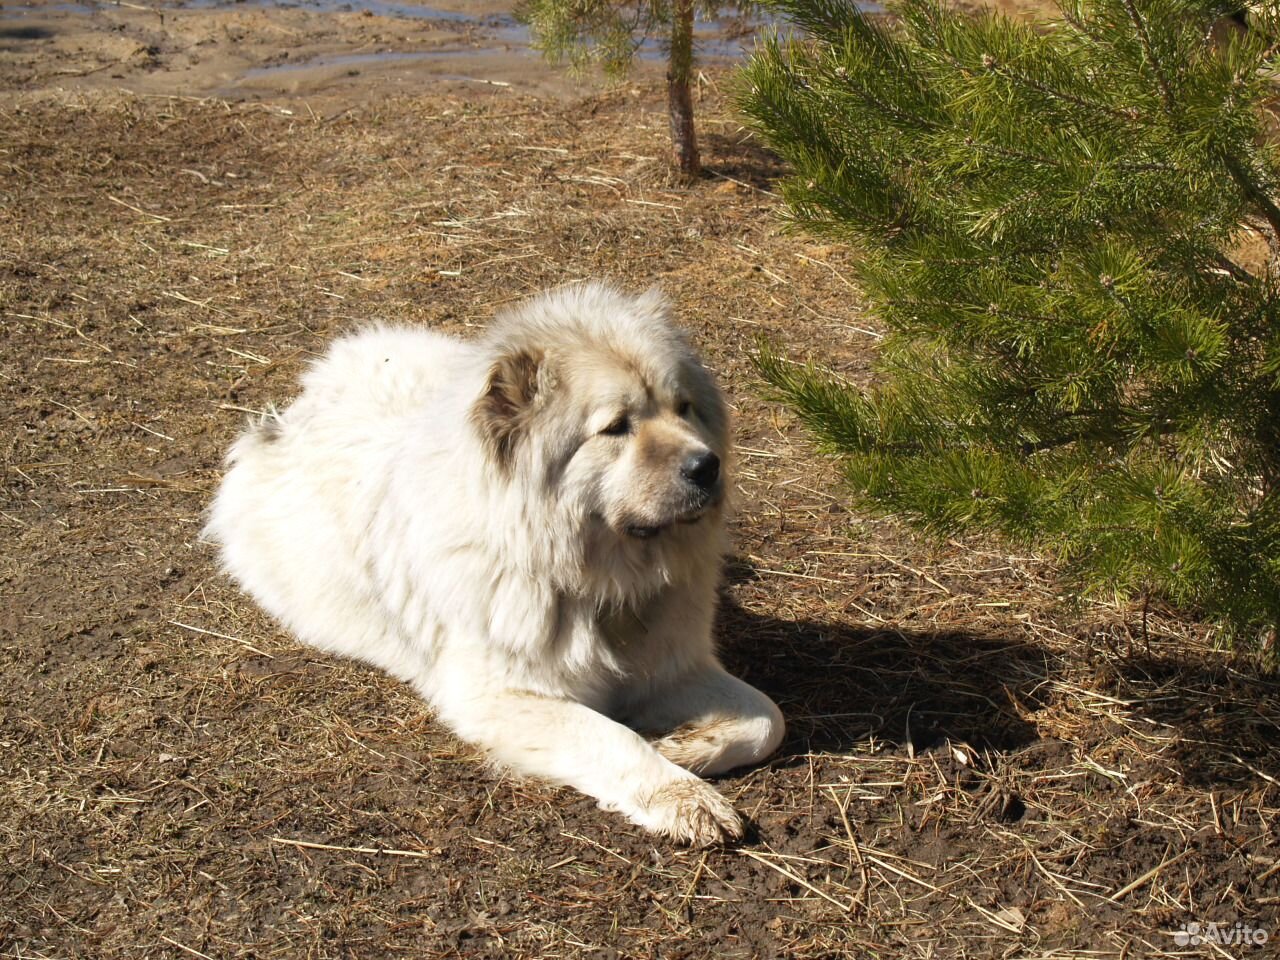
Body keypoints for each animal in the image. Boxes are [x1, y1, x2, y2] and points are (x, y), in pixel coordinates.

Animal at [206, 281, 783, 844]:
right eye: (616, 427)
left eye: (684, 408)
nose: (707, 466)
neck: (596, 577)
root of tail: (300, 404)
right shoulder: (502, 696)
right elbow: (611, 737)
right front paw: (682, 794)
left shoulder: (674, 667)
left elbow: (768, 719)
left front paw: (682, 745)